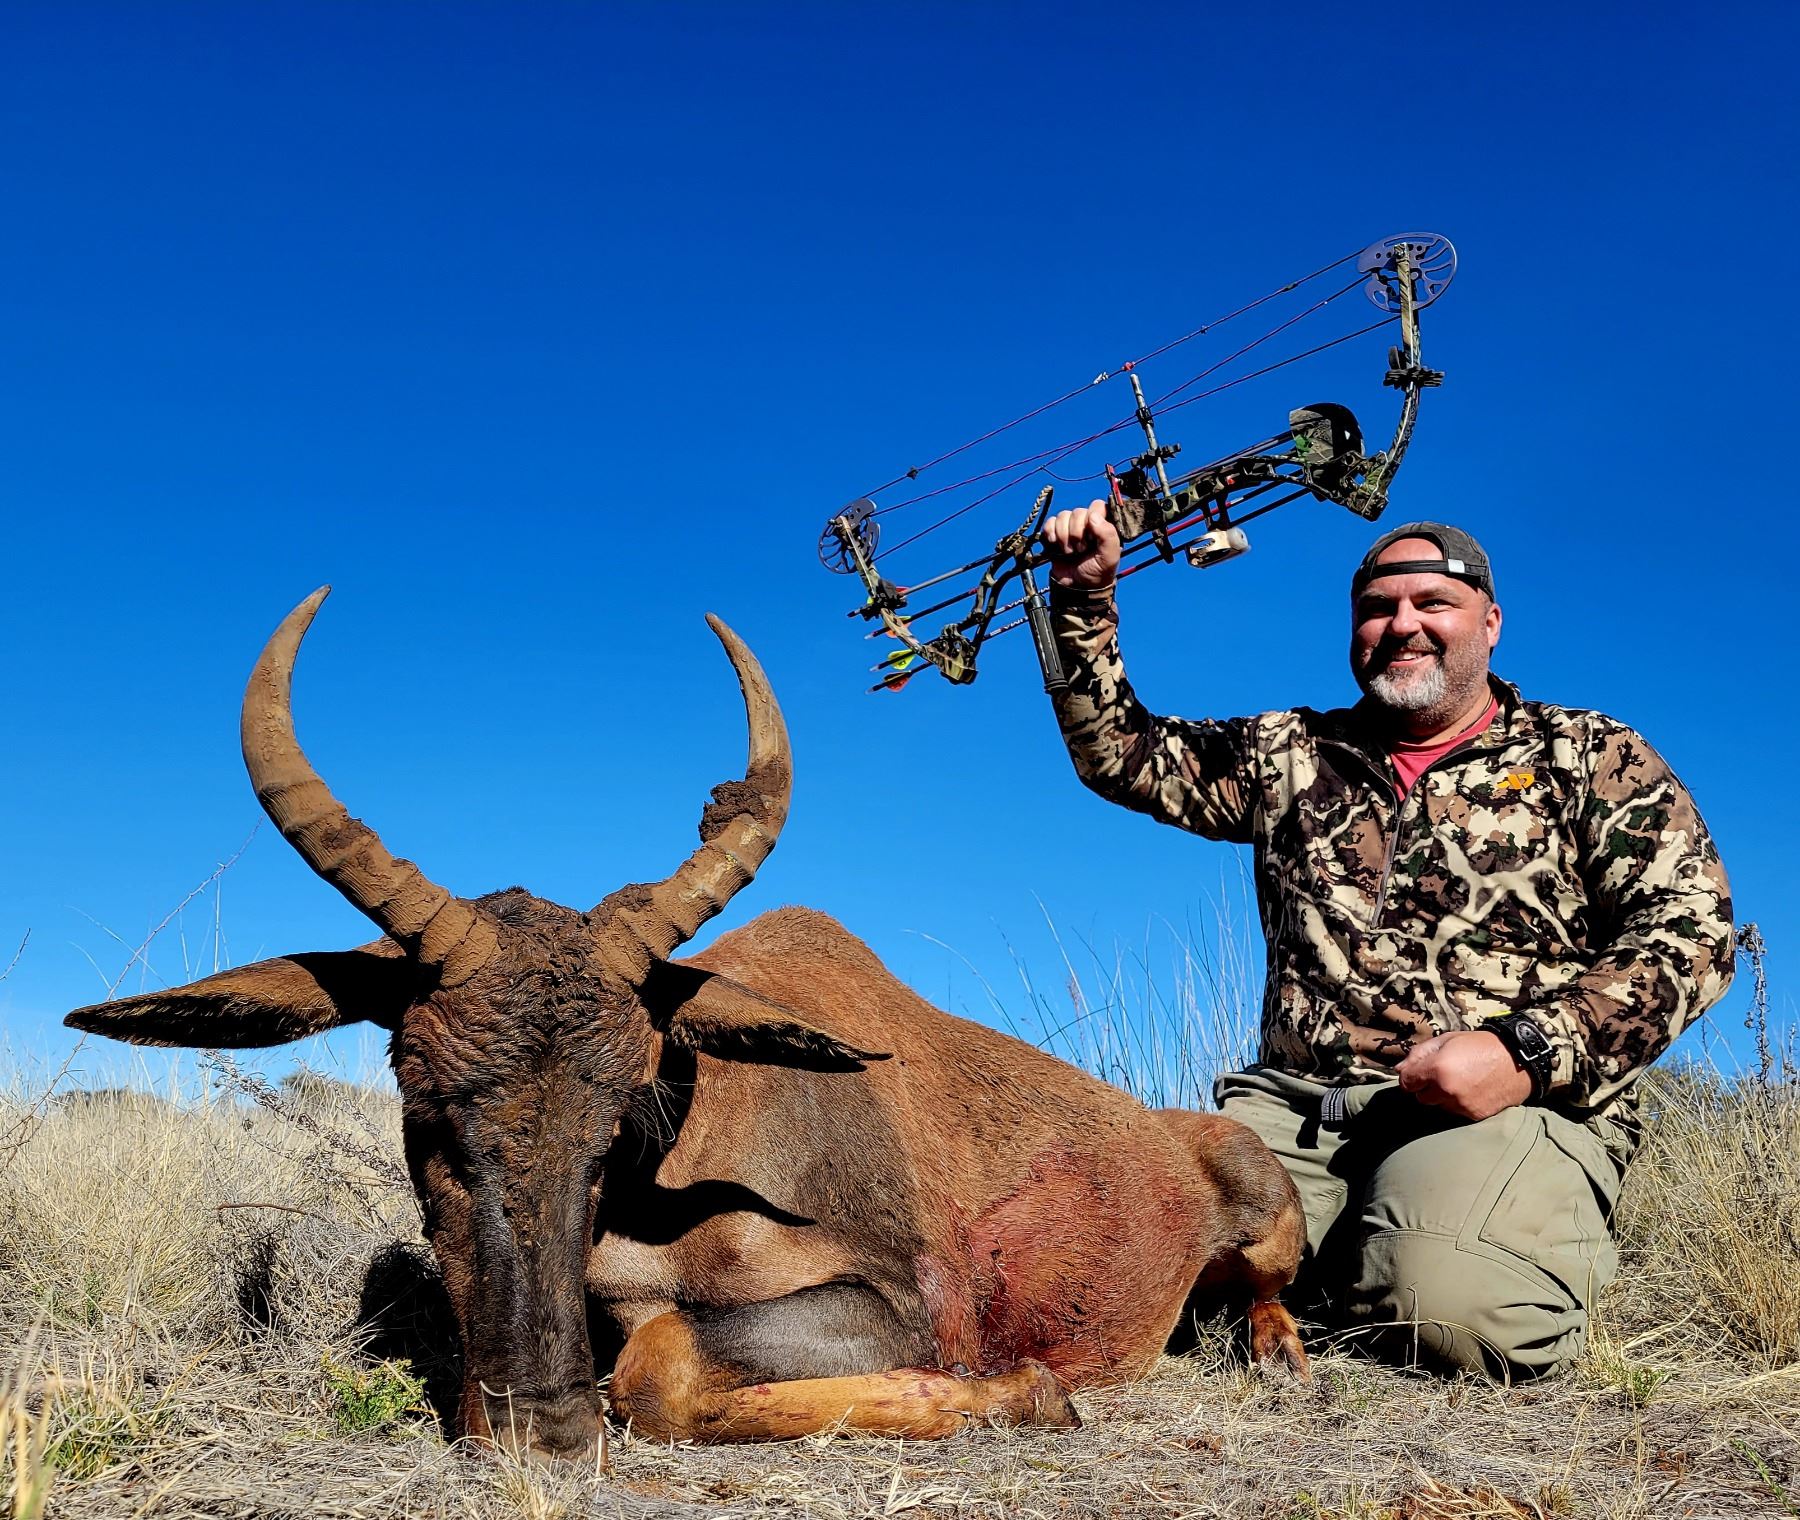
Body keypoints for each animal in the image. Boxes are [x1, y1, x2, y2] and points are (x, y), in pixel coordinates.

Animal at [67, 590, 1308, 1459]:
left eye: (619, 1112)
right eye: (421, 1099)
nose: (542, 1427)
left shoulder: (900, 1304)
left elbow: (658, 1367)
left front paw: (1013, 1391)